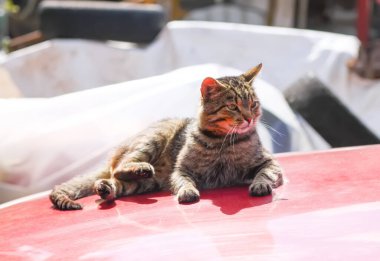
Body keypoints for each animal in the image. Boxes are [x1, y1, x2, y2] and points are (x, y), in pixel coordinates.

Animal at [49, 64, 282, 210]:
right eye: (233, 107)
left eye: (254, 104)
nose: (250, 118)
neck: (222, 143)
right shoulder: (181, 170)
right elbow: (183, 181)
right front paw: (187, 191)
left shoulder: (271, 163)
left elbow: (265, 173)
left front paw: (261, 184)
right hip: (153, 140)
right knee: (118, 168)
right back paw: (136, 169)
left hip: (147, 183)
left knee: (117, 181)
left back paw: (106, 189)